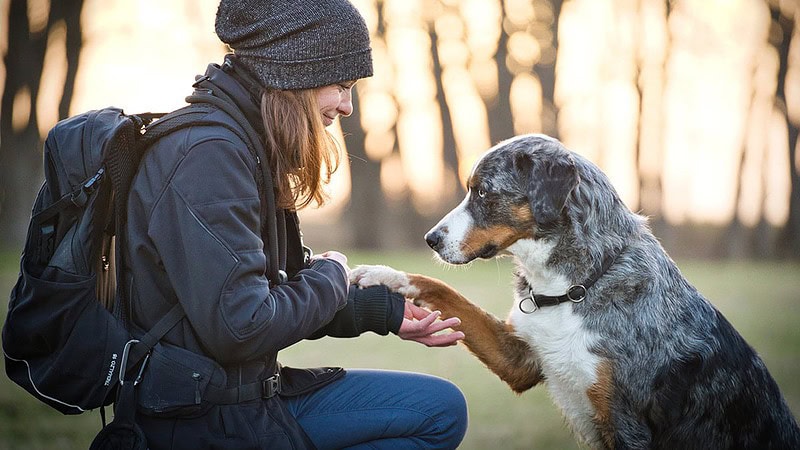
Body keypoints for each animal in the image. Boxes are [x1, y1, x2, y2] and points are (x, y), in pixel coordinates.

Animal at [354, 134, 800, 450]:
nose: (430, 239)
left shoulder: (624, 421)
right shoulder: (520, 357)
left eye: (483, 192)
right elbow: (444, 290)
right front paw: (383, 275)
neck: (573, 289)